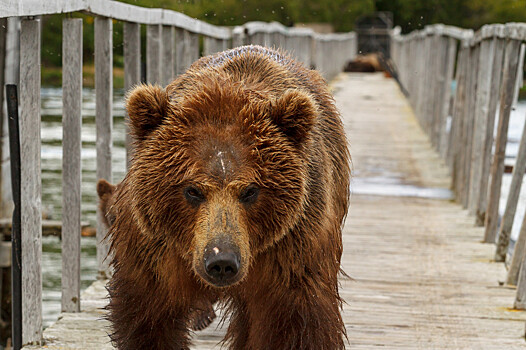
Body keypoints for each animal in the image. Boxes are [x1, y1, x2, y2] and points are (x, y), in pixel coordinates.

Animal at [105, 45, 352, 348]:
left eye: (250, 190)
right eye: (192, 190)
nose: (221, 261)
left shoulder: (294, 248)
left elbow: (295, 324)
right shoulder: (155, 250)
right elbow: (148, 318)